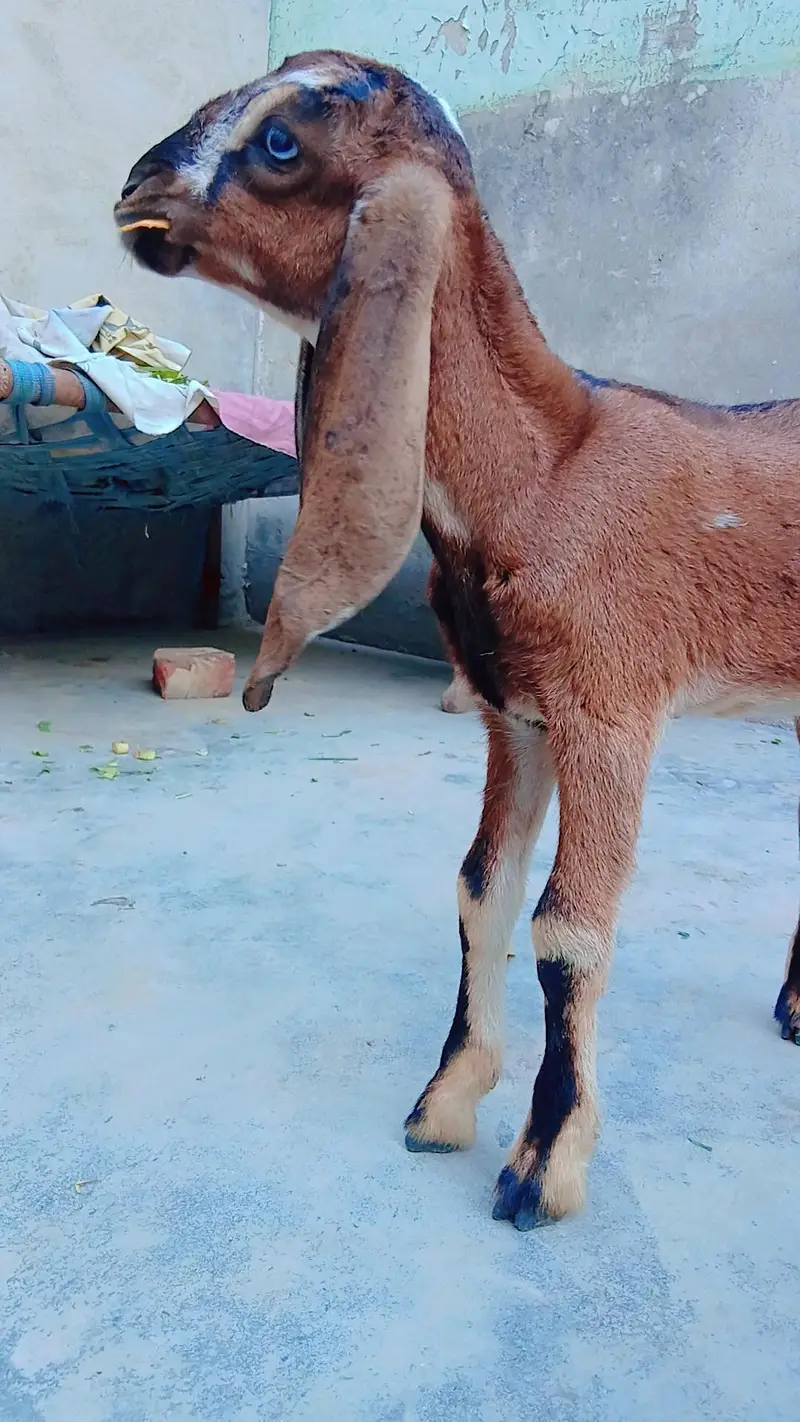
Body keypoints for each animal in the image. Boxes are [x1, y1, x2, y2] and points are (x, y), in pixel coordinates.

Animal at [115, 50, 800, 1230]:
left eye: (282, 140)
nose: (133, 190)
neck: (548, 470)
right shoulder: (511, 715)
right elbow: (481, 888)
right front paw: (442, 1104)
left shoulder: (609, 714)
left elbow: (568, 930)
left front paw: (541, 1166)